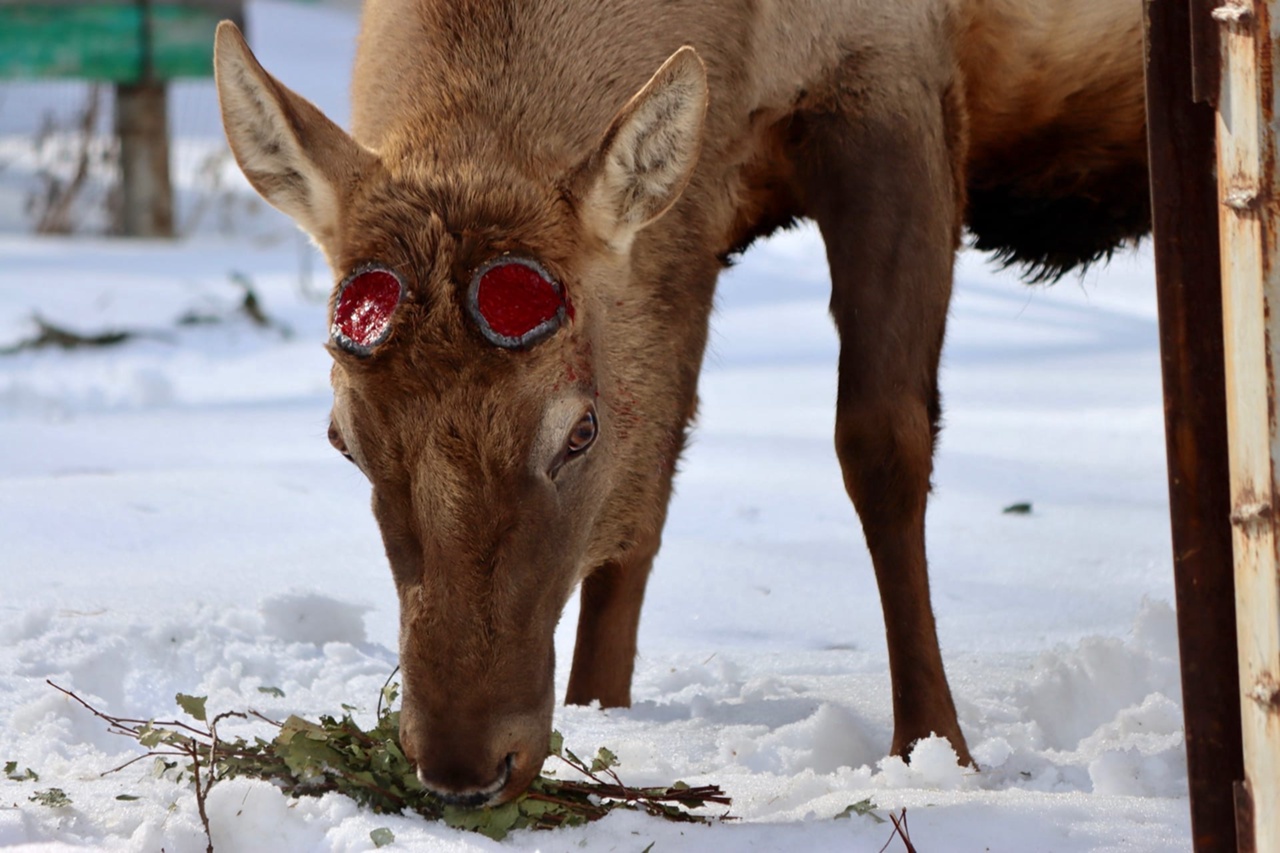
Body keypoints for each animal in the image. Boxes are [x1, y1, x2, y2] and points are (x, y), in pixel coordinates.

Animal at [215, 0, 1146, 804]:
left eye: (578, 431)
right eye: (344, 438)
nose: (462, 765)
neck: (742, 44)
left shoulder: (894, 76)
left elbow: (881, 440)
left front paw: (935, 749)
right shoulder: (687, 232)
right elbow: (651, 487)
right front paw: (600, 707)